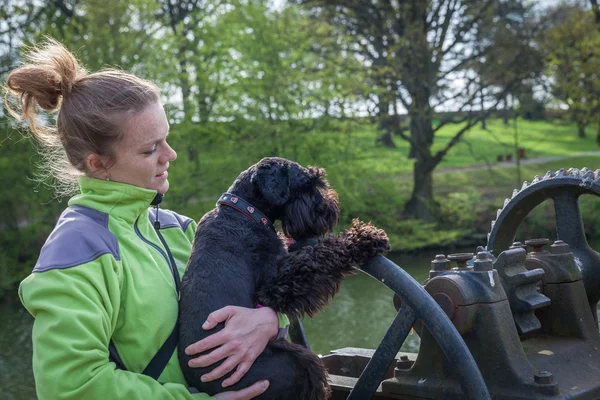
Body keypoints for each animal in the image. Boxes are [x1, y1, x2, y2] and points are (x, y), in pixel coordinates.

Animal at [178, 158, 390, 398]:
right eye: (307, 184)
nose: (331, 209)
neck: (245, 213)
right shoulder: (275, 287)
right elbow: (319, 255)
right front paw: (363, 237)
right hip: (296, 363)